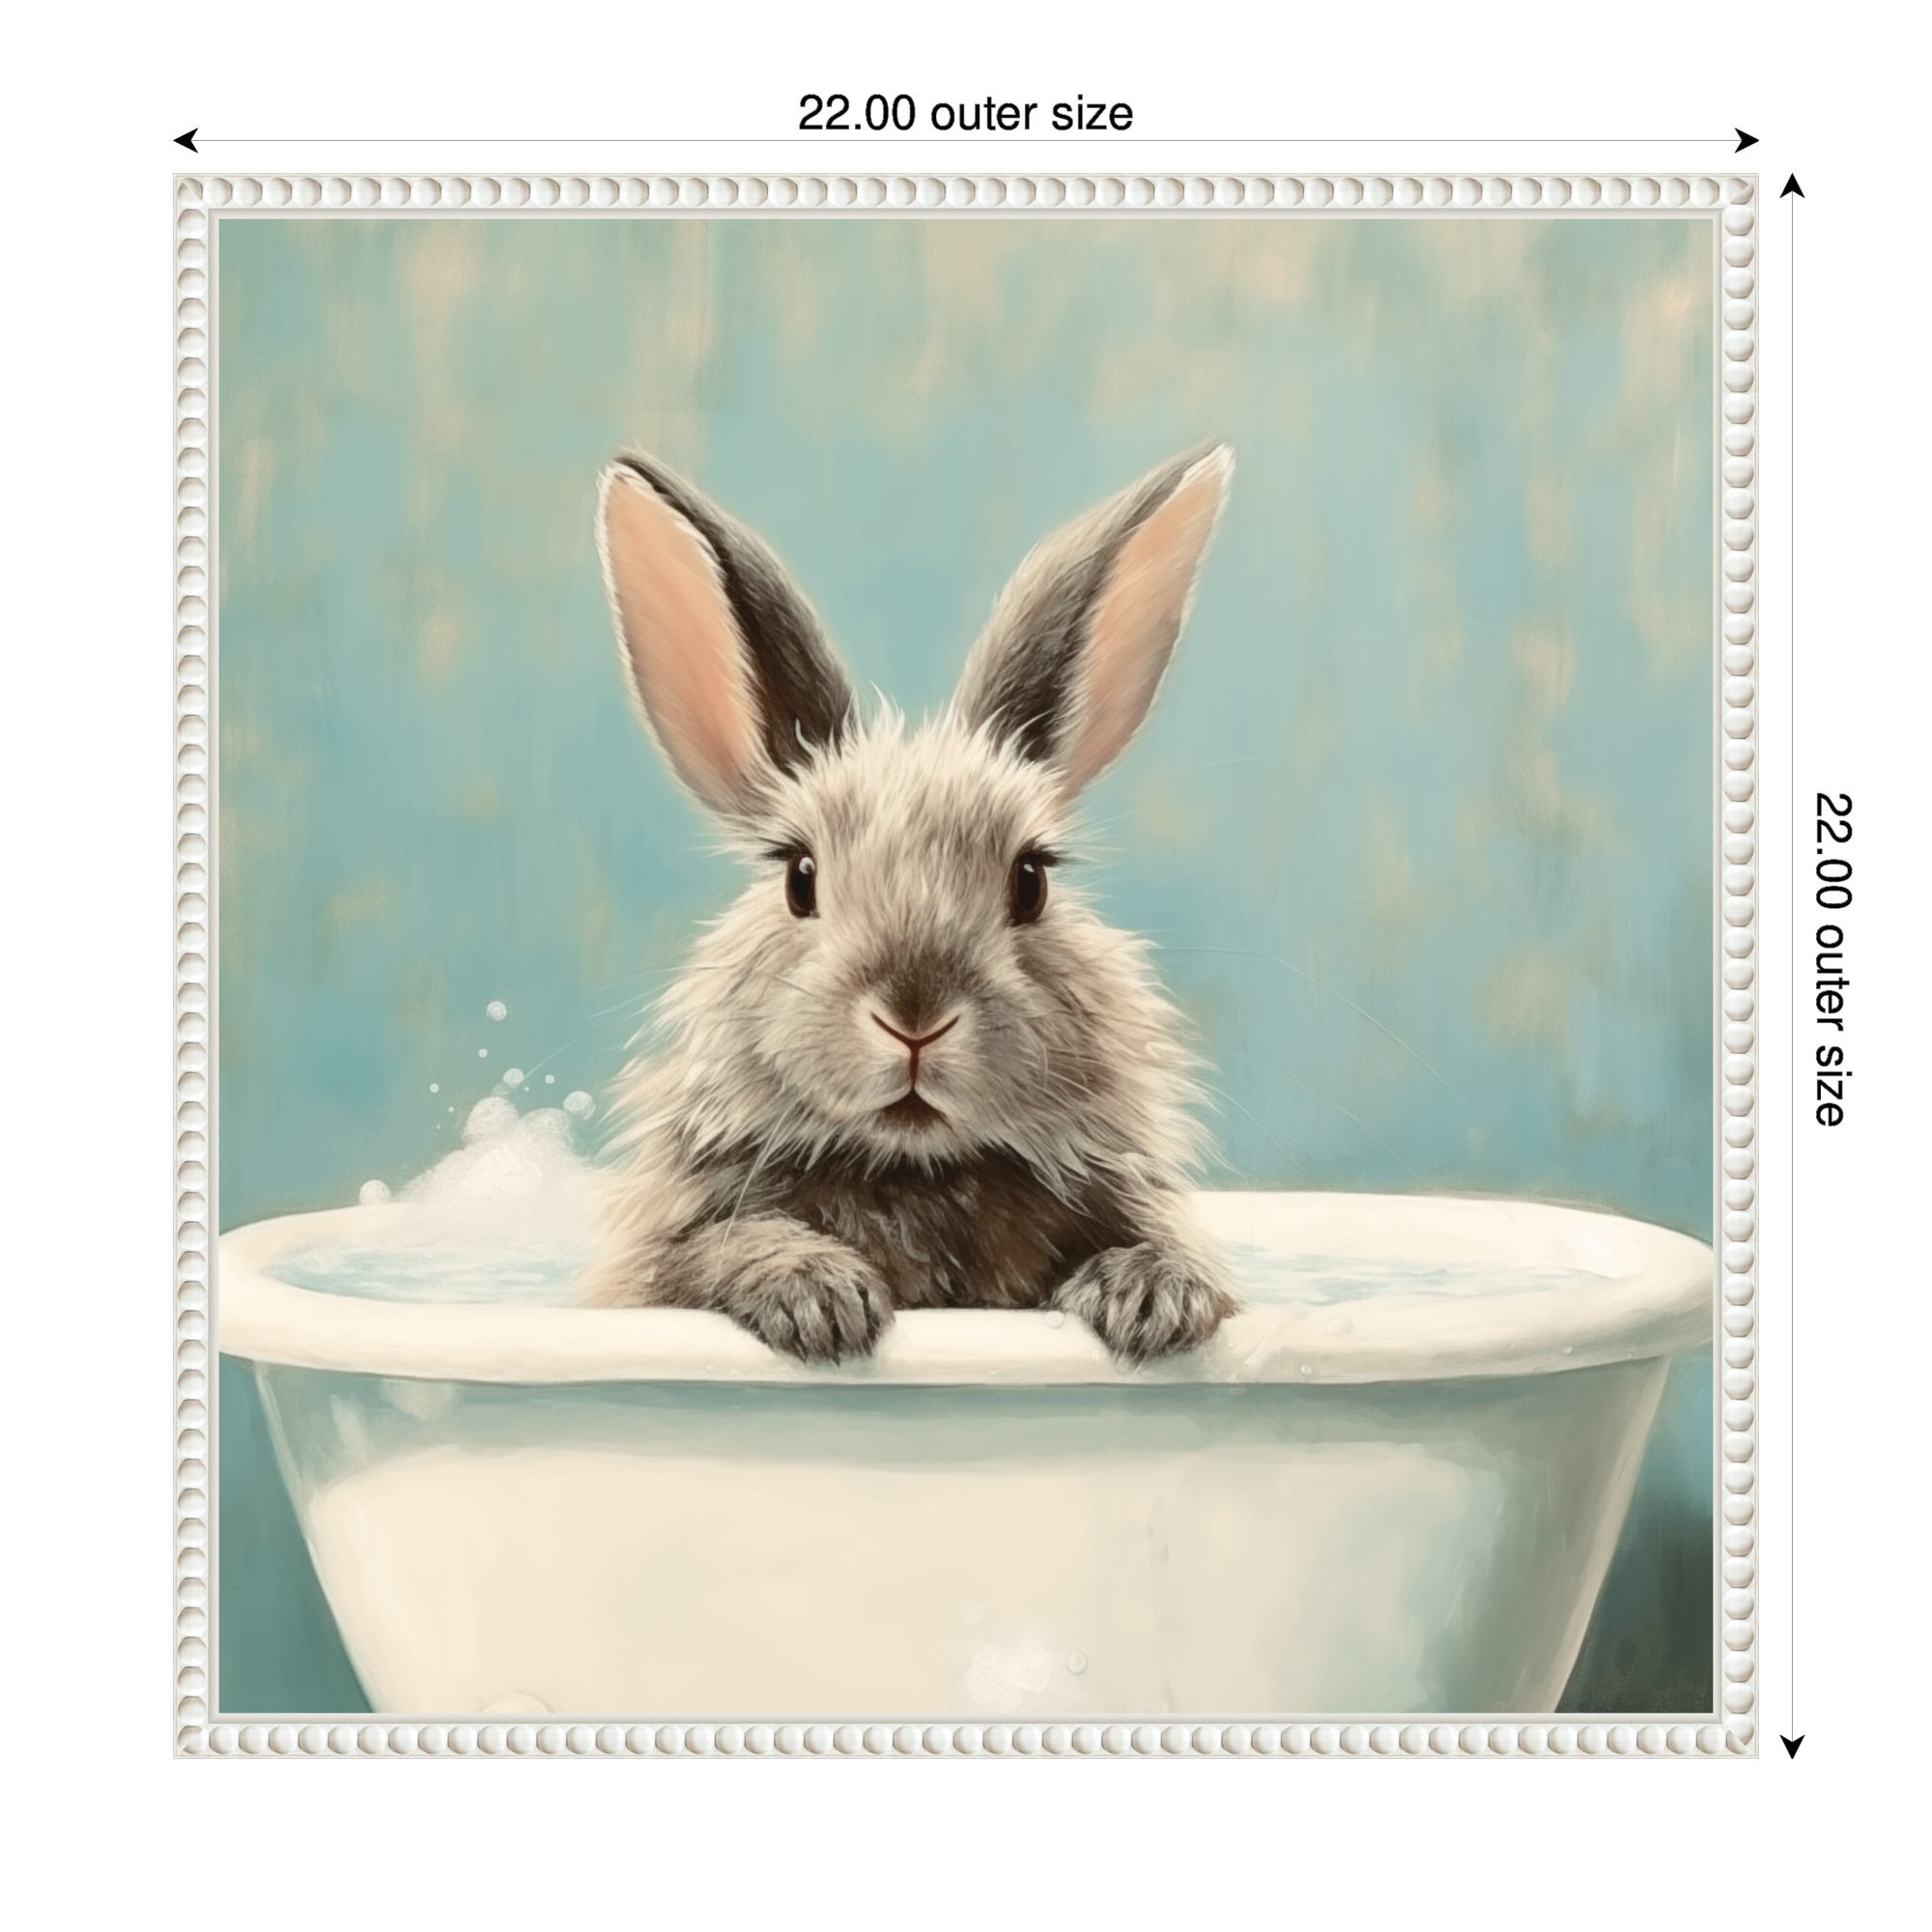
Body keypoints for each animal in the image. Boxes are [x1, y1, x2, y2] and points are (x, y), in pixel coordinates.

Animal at [580, 443, 1240, 1365]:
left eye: (1031, 879)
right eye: (800, 878)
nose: (915, 1017)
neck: (915, 1168)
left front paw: (1150, 1297)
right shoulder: (667, 1254)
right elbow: (725, 1248)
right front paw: (820, 1298)